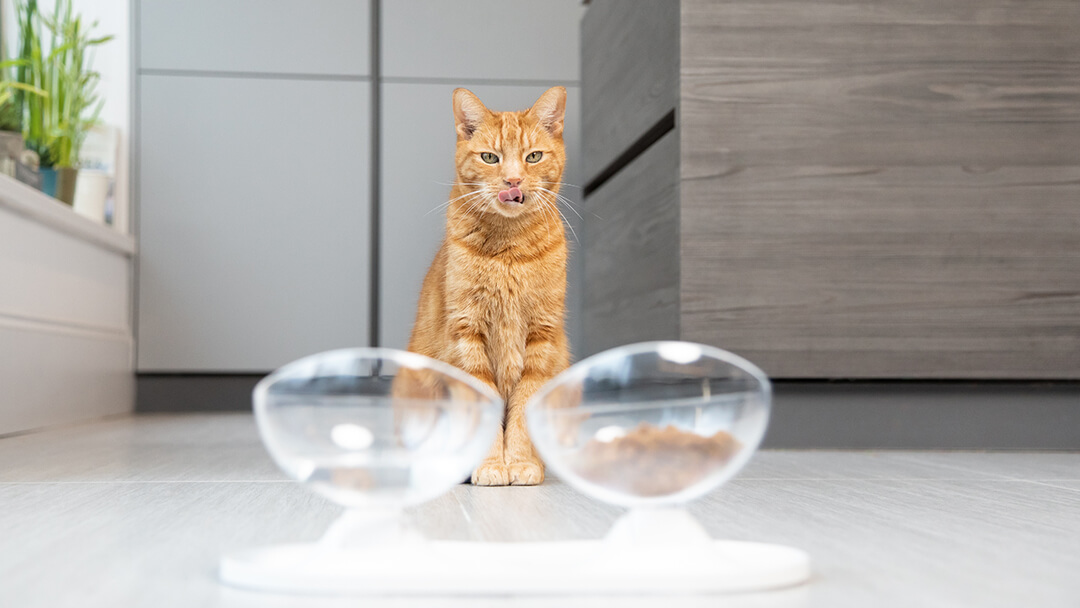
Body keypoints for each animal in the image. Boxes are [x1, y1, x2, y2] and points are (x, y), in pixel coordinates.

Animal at [406, 86, 574, 485]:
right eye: (489, 157)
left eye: (533, 156)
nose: (512, 182)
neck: (509, 250)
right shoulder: (467, 336)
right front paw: (491, 465)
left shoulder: (541, 338)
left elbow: (525, 406)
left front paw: (521, 462)